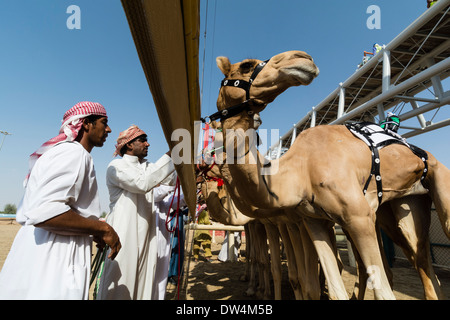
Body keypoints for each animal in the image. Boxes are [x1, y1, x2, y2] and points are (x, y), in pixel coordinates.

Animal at [203, 50, 450, 300]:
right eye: (245, 65)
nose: (302, 58)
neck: (300, 173)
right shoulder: (312, 221)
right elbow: (326, 286)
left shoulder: (357, 217)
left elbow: (379, 288)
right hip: (403, 204)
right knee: (422, 262)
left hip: (438, 179)